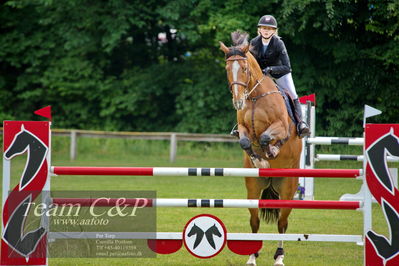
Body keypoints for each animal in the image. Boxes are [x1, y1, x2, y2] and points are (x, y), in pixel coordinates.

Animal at [220, 31, 302, 266]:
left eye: (244, 68)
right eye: (227, 68)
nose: (238, 102)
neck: (256, 97)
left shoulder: (281, 127)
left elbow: (267, 137)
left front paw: (271, 152)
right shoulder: (243, 129)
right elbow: (246, 142)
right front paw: (259, 159)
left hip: (288, 187)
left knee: (282, 223)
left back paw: (279, 256)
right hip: (253, 188)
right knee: (254, 221)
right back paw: (252, 255)